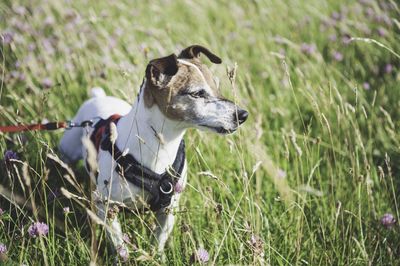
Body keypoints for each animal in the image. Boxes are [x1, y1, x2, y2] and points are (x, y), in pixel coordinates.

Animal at [58, 44, 248, 256]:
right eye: (197, 93)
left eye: (216, 86)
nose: (242, 115)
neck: (160, 146)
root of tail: (98, 98)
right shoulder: (106, 206)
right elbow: (119, 244)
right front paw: (123, 257)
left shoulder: (168, 209)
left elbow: (158, 240)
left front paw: (156, 256)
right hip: (67, 150)